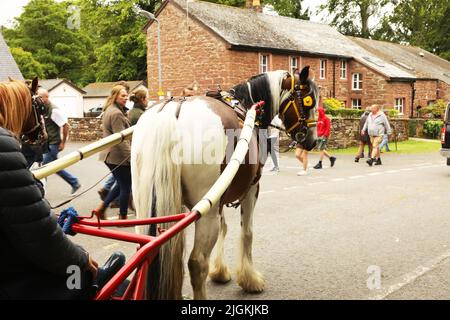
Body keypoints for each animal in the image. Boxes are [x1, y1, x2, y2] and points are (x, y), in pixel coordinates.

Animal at [131, 65, 320, 300]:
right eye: (309, 101)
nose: (312, 140)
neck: (247, 107)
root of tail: (173, 111)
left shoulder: (219, 198)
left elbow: (225, 227)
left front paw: (220, 271)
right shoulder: (251, 189)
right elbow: (247, 233)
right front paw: (250, 279)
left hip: (148, 204)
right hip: (206, 211)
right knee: (197, 263)